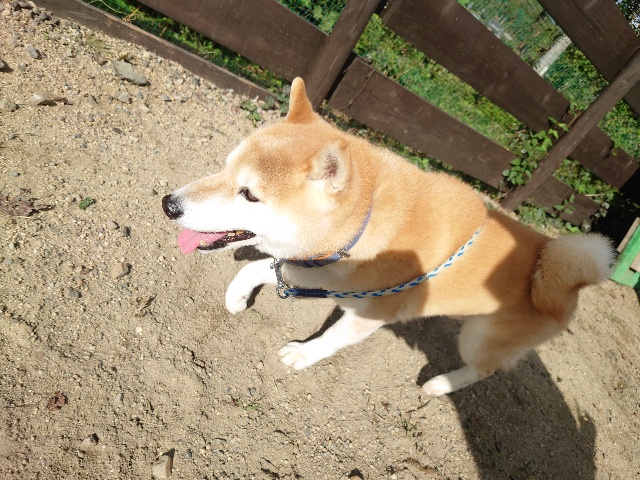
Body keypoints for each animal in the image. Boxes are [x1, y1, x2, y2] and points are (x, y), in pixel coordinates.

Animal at [162, 78, 614, 396]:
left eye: (250, 194)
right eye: (224, 167)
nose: (169, 204)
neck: (364, 222)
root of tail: (563, 272)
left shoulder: (368, 310)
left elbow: (330, 338)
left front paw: (303, 354)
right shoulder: (330, 274)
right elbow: (261, 266)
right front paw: (238, 296)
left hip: (479, 338)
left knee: (485, 369)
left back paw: (441, 385)